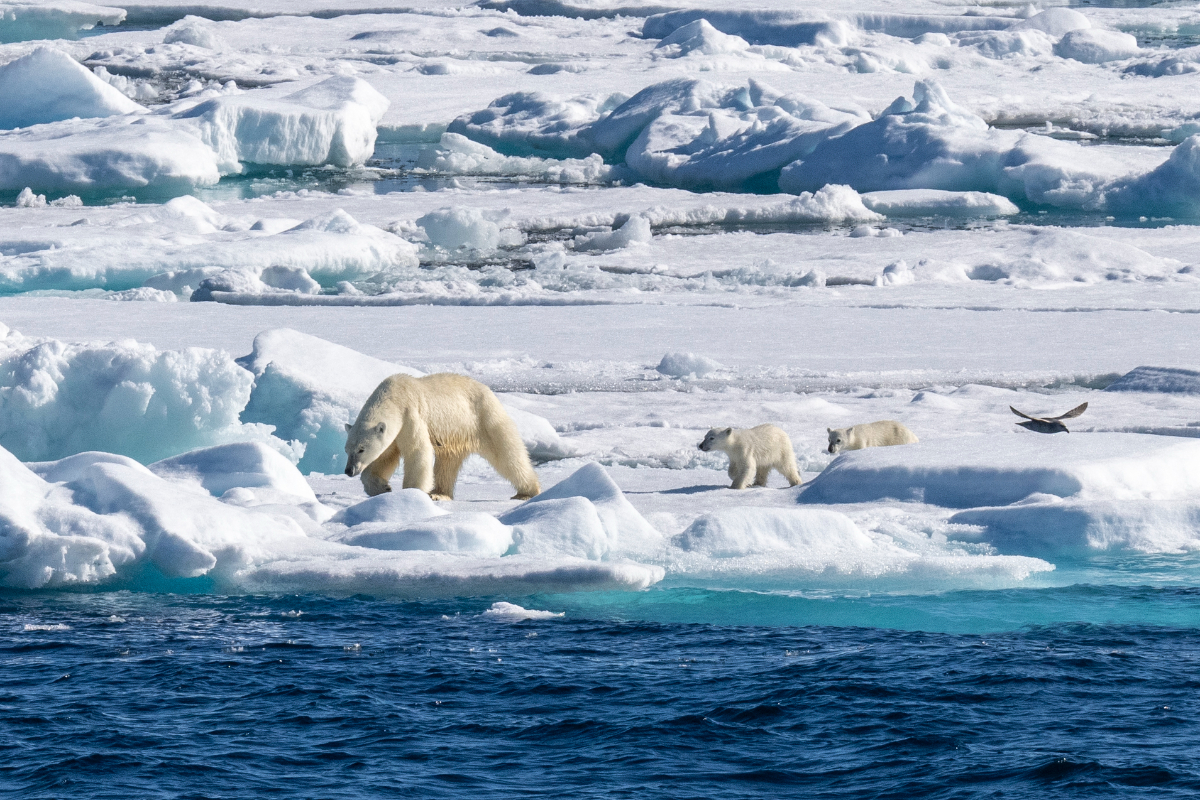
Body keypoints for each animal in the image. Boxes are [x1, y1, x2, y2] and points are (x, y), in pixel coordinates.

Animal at [344, 373, 541, 501]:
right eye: (347, 450)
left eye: (361, 449)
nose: (348, 470)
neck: (394, 396)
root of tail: (489, 390)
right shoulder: (394, 432)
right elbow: (385, 456)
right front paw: (383, 488)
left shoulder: (410, 415)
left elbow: (417, 451)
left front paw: (410, 493)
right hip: (455, 435)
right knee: (447, 463)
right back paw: (439, 493)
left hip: (484, 418)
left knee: (507, 454)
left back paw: (526, 492)